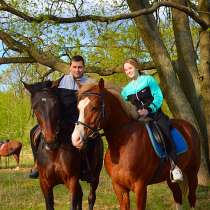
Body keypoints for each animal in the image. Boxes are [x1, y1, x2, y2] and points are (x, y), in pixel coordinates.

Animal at [23, 81, 104, 210]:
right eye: (35, 107)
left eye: (55, 104)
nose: (51, 141)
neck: (54, 151)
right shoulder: (45, 184)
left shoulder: (72, 181)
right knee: (81, 195)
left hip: (95, 176)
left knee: (91, 197)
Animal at [72, 79, 200, 210]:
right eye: (78, 108)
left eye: (94, 107)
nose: (76, 139)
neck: (121, 146)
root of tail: (189, 127)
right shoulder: (119, 187)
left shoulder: (140, 187)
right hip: (169, 178)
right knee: (177, 196)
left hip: (192, 172)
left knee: (192, 197)